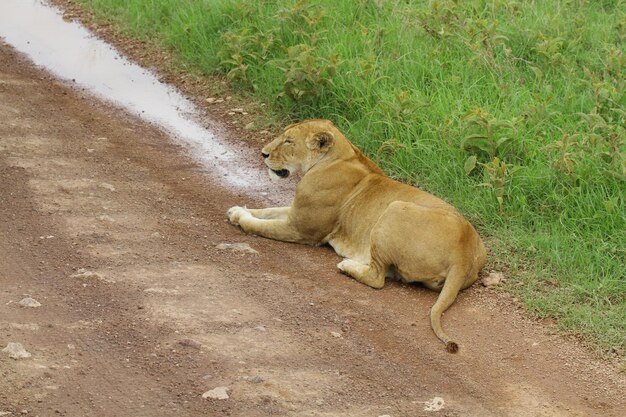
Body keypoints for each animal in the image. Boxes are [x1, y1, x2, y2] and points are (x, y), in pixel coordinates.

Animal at [227, 118, 486, 352]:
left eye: (289, 140)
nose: (263, 154)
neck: (337, 156)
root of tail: (464, 251)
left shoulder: (301, 229)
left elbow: (261, 225)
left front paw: (240, 218)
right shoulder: (295, 213)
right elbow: (267, 210)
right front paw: (237, 209)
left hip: (393, 209)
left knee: (377, 278)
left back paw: (347, 265)